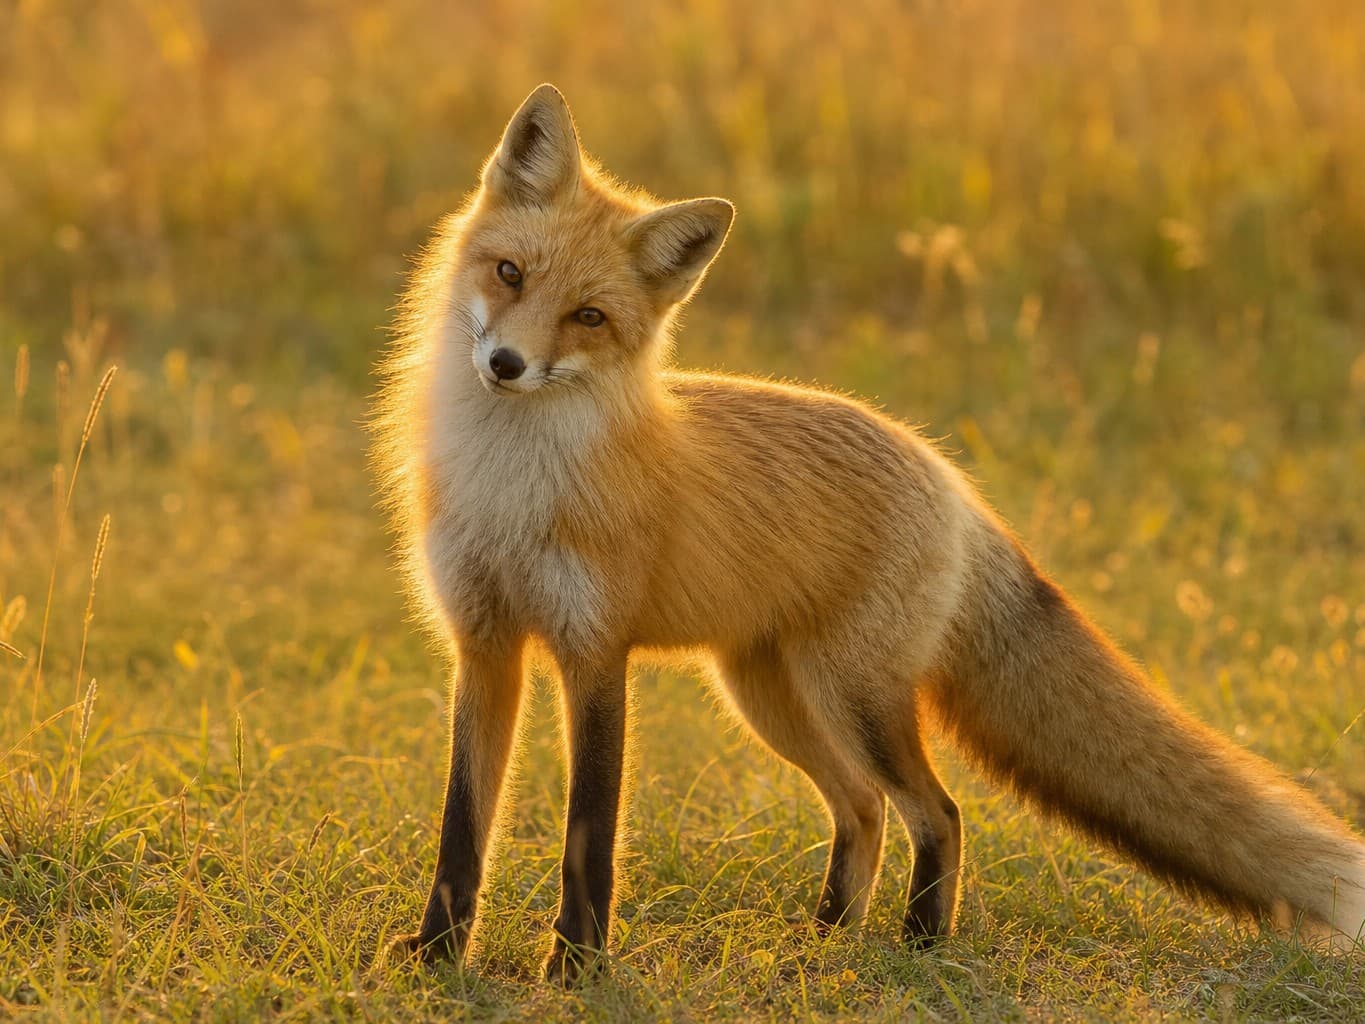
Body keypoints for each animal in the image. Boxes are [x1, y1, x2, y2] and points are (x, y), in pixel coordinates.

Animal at [371, 83, 1365, 985]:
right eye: (509, 274)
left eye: (589, 317)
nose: (505, 364)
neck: (512, 488)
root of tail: (945, 475)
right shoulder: (484, 645)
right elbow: (463, 827)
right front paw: (436, 957)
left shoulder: (593, 653)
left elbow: (589, 832)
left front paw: (576, 969)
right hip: (773, 694)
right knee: (862, 811)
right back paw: (821, 941)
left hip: (854, 698)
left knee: (937, 812)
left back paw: (917, 948)